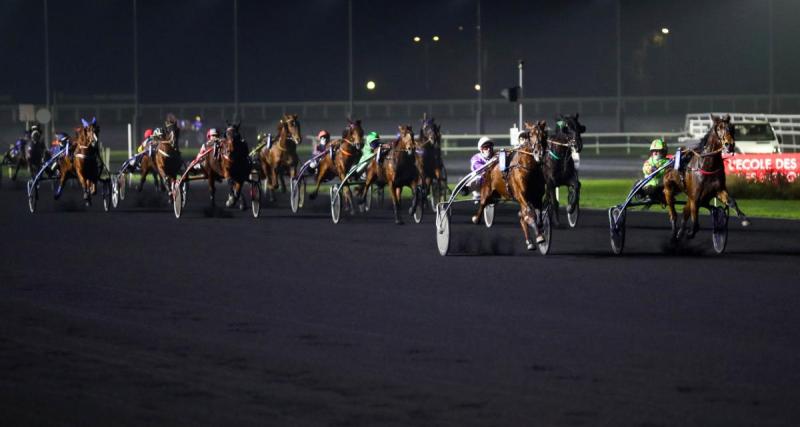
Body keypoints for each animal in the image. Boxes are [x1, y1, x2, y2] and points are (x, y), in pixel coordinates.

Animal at [476, 120, 552, 251]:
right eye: (530, 135)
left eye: (544, 135)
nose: (539, 153)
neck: (529, 169)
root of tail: (490, 163)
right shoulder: (521, 195)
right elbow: (529, 214)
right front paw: (539, 237)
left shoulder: (537, 197)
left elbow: (538, 218)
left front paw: (541, 236)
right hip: (487, 189)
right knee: (482, 203)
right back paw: (476, 218)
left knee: (522, 216)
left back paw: (529, 241)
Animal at [664, 113, 752, 242]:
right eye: (719, 128)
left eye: (732, 128)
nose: (729, 144)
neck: (707, 165)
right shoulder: (695, 196)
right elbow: (695, 222)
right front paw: (690, 233)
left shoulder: (718, 190)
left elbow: (731, 201)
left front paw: (744, 219)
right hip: (669, 189)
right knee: (673, 213)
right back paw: (675, 232)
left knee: (688, 211)